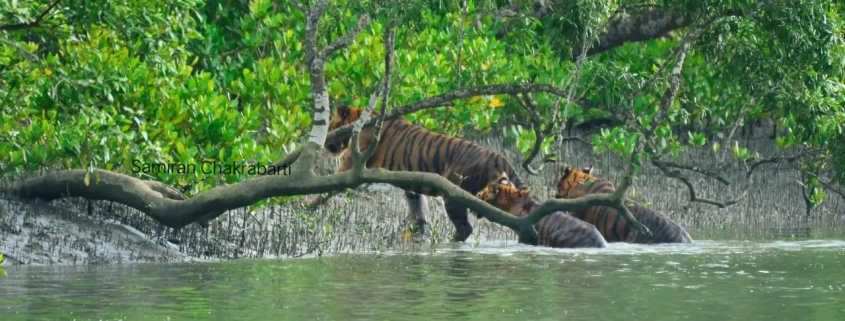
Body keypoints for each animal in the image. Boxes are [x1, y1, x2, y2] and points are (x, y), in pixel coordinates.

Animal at [304, 104, 528, 241]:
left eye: (330, 125)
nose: (326, 145)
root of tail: (499, 156)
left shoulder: (352, 164)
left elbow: (327, 187)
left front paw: (307, 205)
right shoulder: (411, 180)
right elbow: (416, 202)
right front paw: (417, 228)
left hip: (454, 195)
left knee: (465, 228)